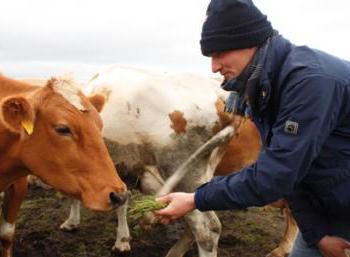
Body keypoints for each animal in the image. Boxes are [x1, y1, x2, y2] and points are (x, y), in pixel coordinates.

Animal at [58, 65, 296, 256]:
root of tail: (221, 97)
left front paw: (72, 222)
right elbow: (121, 201)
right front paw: (123, 239)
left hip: (186, 171)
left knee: (208, 229)